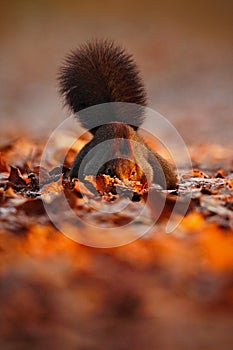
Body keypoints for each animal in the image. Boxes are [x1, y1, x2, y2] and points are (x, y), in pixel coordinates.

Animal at [57, 39, 177, 190]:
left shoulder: (144, 164)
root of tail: (114, 122)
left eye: (133, 173)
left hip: (156, 159)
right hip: (84, 154)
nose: (122, 183)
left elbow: (148, 174)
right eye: (109, 171)